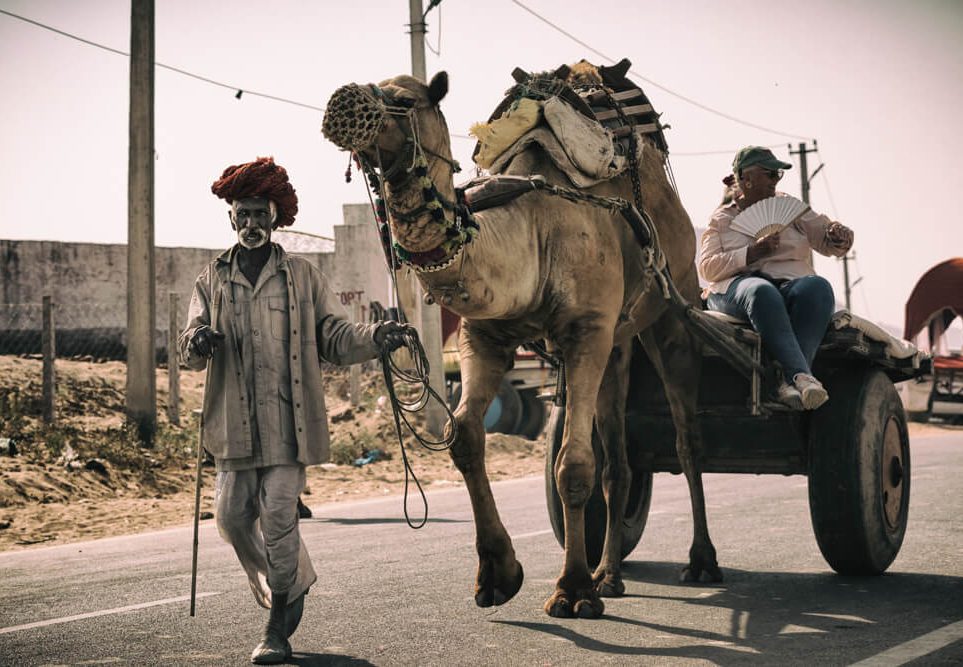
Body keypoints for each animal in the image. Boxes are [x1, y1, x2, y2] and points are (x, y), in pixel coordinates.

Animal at [324, 60, 724, 620]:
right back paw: (609, 575)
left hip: (673, 301)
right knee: (619, 463)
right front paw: (497, 574)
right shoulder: (486, 335)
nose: (342, 102)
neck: (531, 231)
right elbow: (465, 436)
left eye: (402, 99)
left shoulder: (584, 330)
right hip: (617, 341)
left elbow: (572, 464)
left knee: (687, 440)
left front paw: (571, 590)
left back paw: (700, 561)